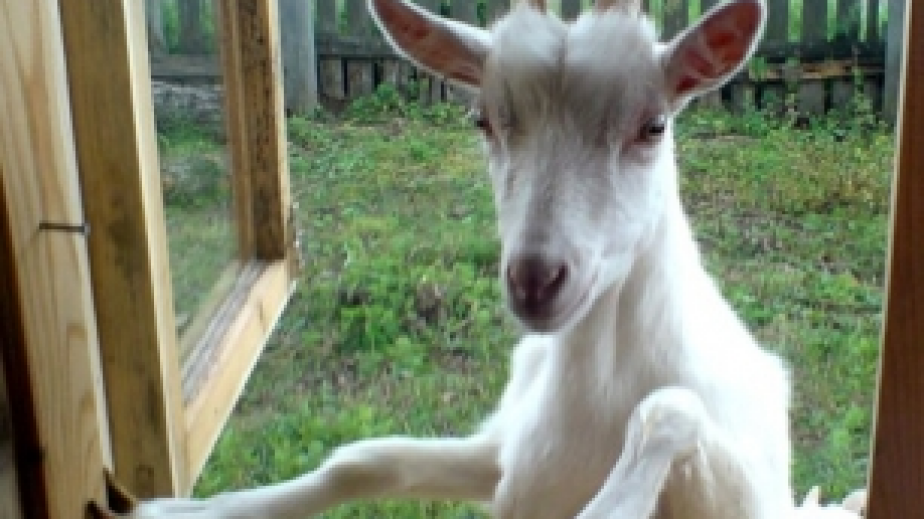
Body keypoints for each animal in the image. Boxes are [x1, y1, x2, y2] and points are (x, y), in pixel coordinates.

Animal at [116, 0, 866, 517]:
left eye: (653, 125)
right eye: (483, 119)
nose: (536, 278)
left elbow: (667, 414)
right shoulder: (506, 452)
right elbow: (362, 461)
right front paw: (178, 508)